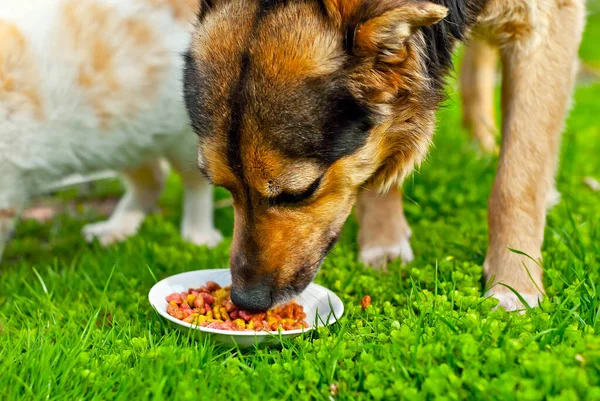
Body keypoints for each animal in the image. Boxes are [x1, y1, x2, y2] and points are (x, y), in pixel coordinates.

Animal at [0, 0, 223, 260]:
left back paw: (198, 237)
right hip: (126, 140)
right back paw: (112, 231)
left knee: (196, 181)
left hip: (185, 138)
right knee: (154, 178)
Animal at [185, 0, 584, 310]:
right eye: (223, 186)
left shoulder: (548, 24)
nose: (246, 300)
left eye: (301, 192)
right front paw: (383, 241)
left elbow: (515, 184)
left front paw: (513, 283)